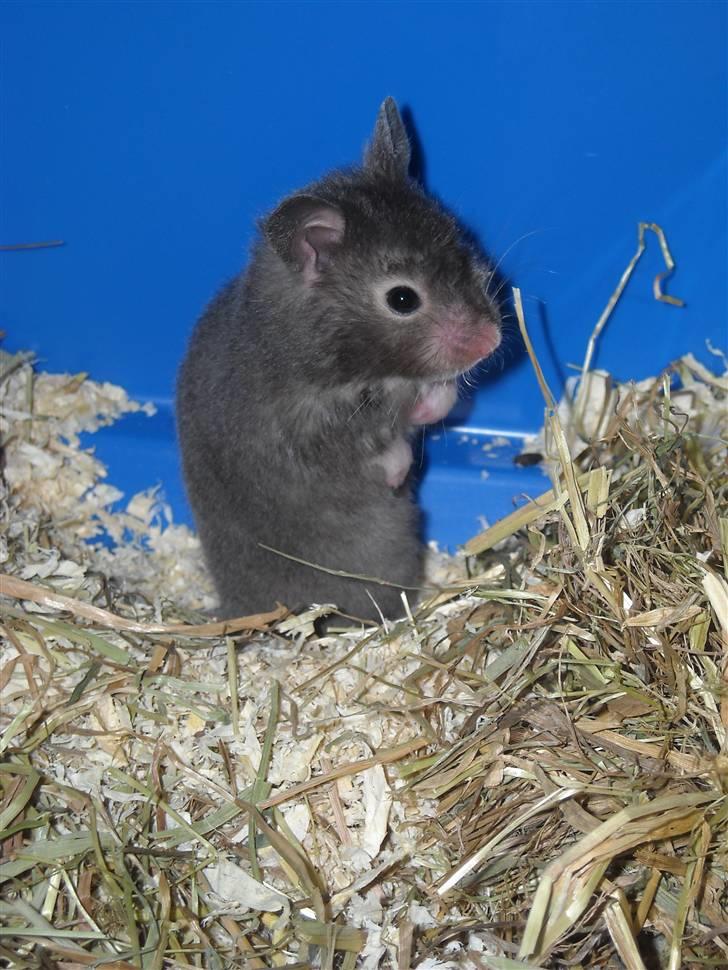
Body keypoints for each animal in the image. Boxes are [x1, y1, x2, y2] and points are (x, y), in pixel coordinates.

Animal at [176, 98, 501, 622]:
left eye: (464, 249)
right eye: (403, 299)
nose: (493, 340)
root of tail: (233, 610)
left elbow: (431, 403)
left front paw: (438, 397)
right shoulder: (317, 437)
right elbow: (378, 450)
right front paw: (398, 471)